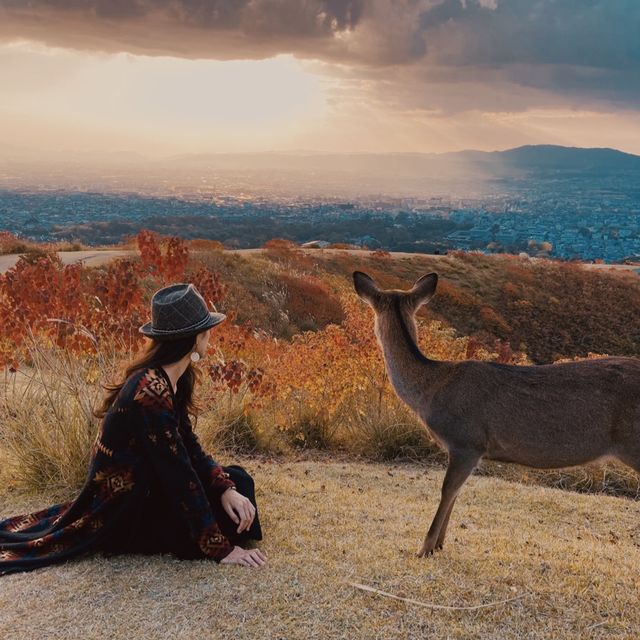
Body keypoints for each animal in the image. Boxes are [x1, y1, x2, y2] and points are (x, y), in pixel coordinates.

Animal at [352, 268, 640, 556]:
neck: (431, 390)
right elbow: (456, 492)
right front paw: (440, 544)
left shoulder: (466, 441)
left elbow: (447, 490)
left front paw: (425, 548)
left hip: (632, 443)